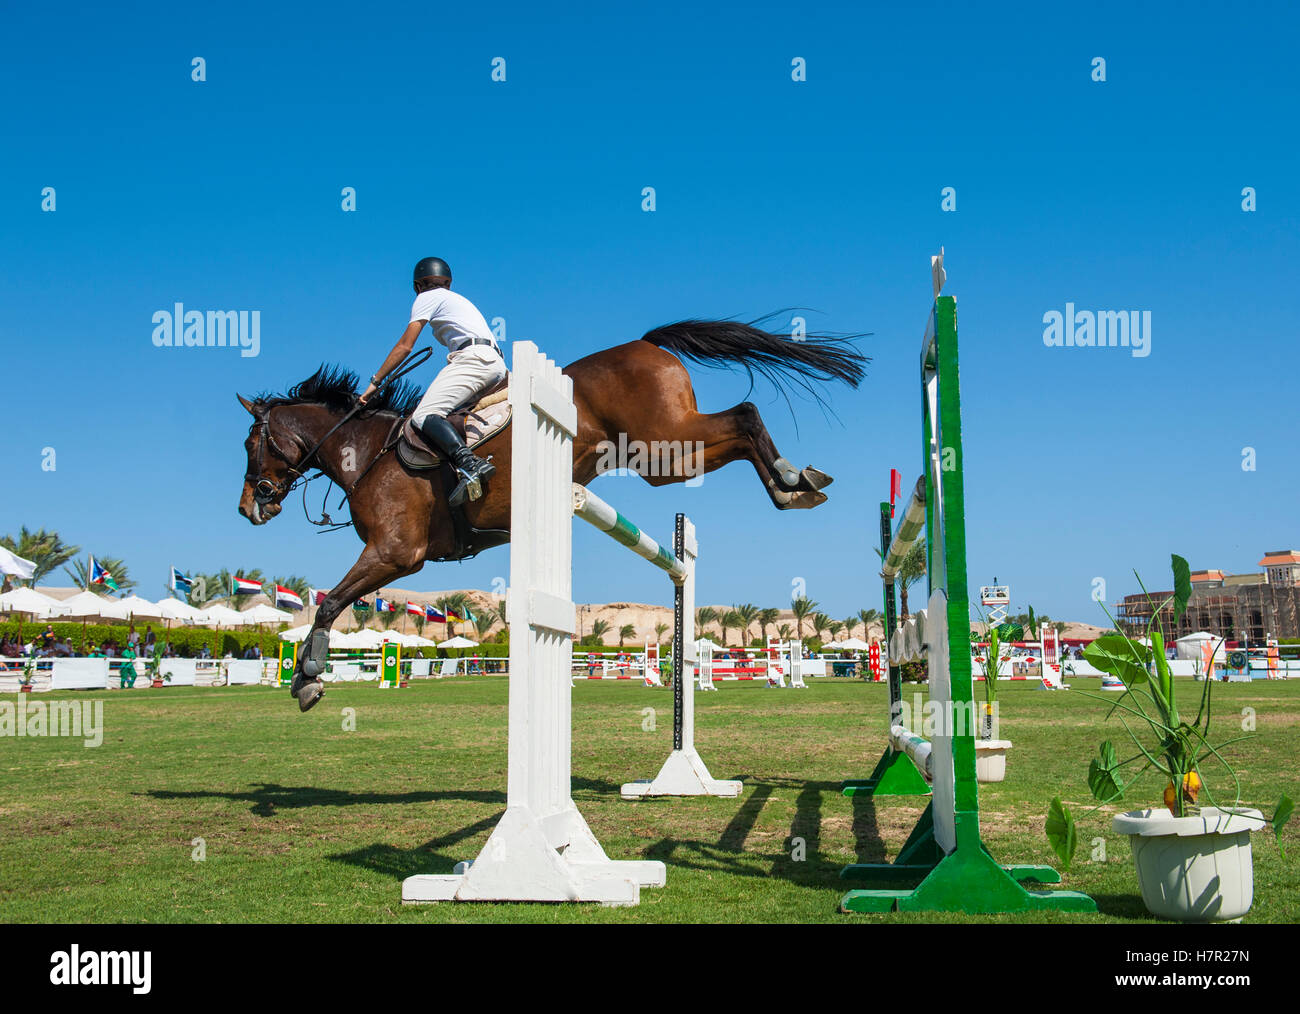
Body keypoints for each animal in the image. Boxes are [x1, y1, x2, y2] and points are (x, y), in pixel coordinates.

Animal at [239, 321, 868, 707]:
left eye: (250, 444)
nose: (249, 508)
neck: (365, 452)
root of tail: (646, 344)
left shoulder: (396, 554)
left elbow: (329, 606)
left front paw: (307, 682)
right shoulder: (392, 556)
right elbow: (333, 603)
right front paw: (305, 679)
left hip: (664, 447)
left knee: (744, 413)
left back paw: (792, 483)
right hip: (666, 457)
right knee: (741, 423)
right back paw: (798, 483)